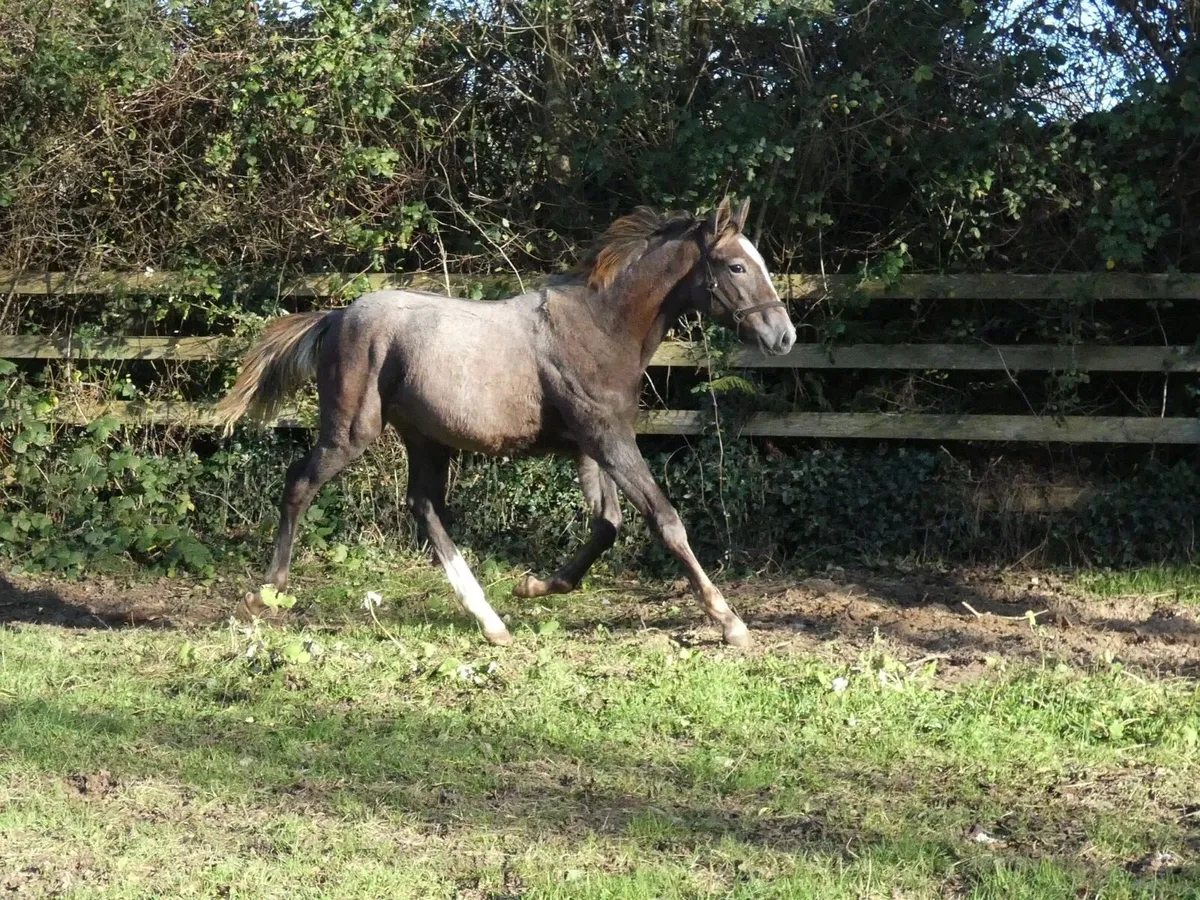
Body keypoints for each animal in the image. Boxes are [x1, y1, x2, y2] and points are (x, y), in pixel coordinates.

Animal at [214, 197, 796, 647]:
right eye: (737, 267)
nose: (783, 335)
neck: (600, 327)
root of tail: (336, 316)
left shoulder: (593, 445)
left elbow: (607, 524)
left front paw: (535, 587)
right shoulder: (608, 439)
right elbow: (664, 519)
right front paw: (730, 622)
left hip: (426, 439)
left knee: (425, 507)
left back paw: (491, 620)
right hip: (350, 433)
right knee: (300, 484)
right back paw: (265, 594)